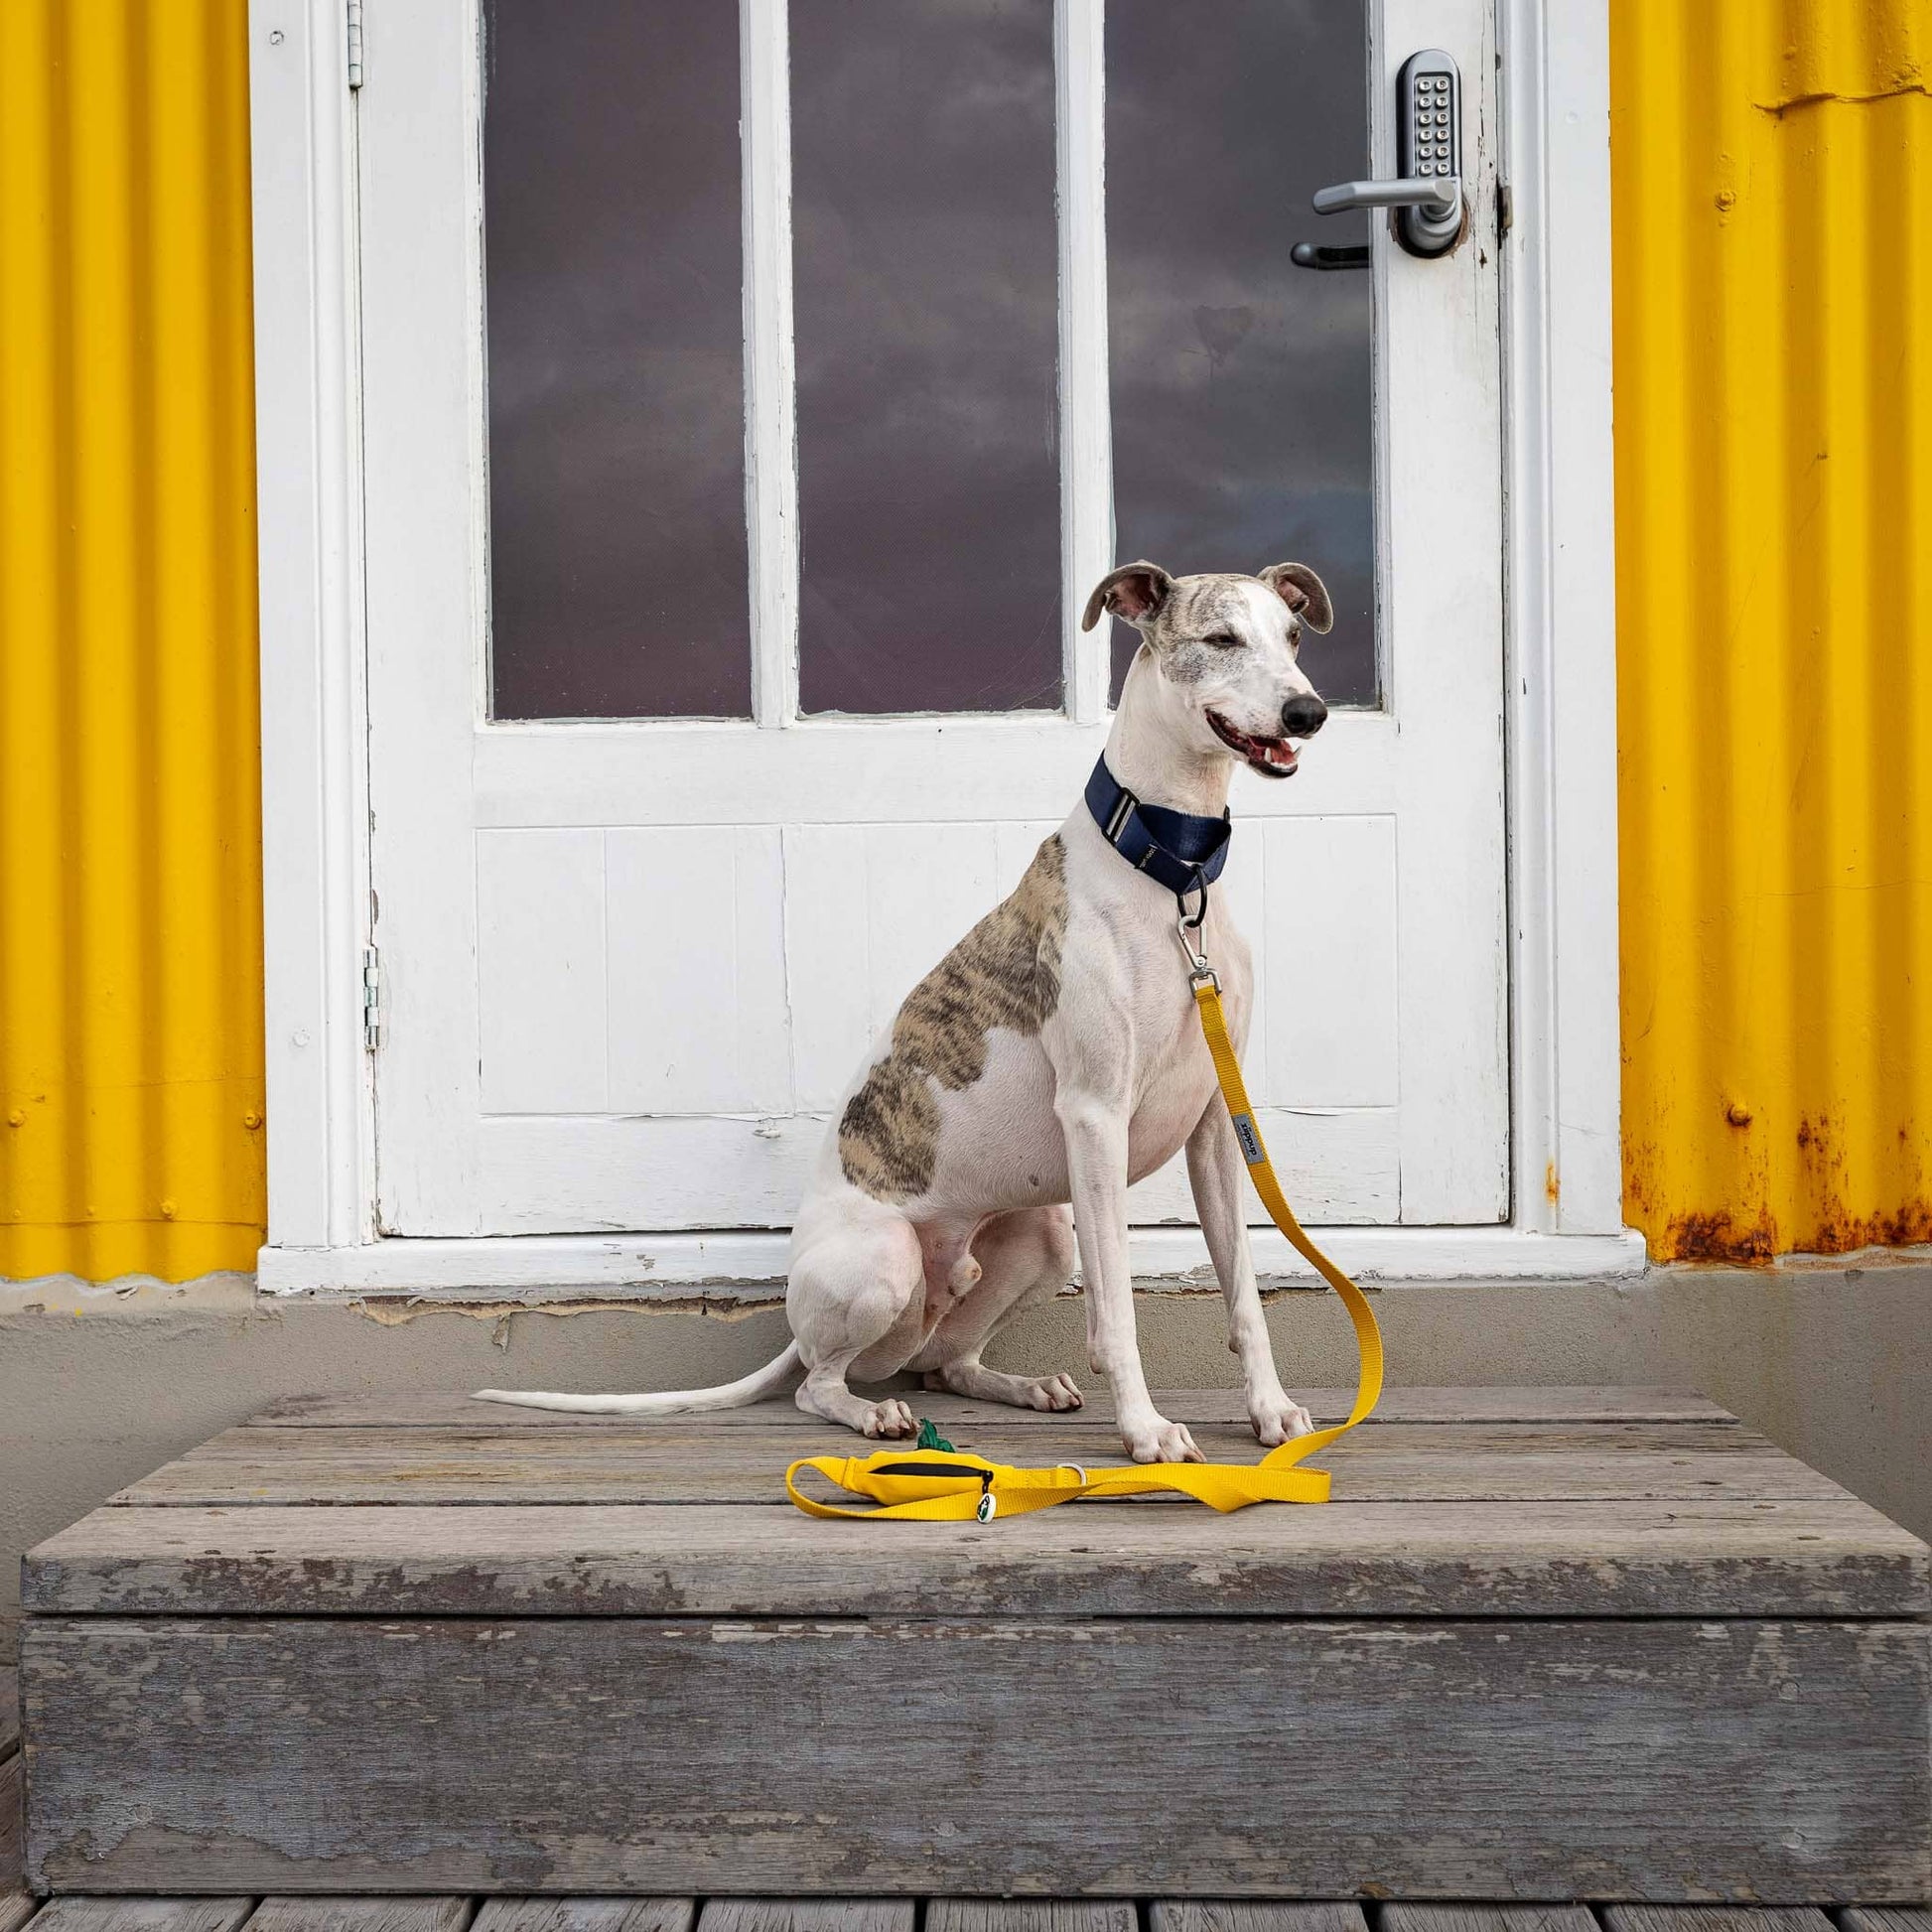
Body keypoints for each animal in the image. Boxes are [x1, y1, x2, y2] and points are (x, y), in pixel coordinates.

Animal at [475, 560, 1336, 1460]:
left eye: (1293, 637)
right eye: (1221, 638)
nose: (1308, 713)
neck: (1173, 874)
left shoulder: (1215, 1124)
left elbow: (1243, 1293)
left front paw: (1272, 1411)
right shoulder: (1096, 1114)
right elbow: (1117, 1315)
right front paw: (1145, 1431)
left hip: (1043, 1235)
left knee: (945, 1363)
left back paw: (1025, 1386)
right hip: (887, 1261)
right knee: (819, 1387)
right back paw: (872, 1413)